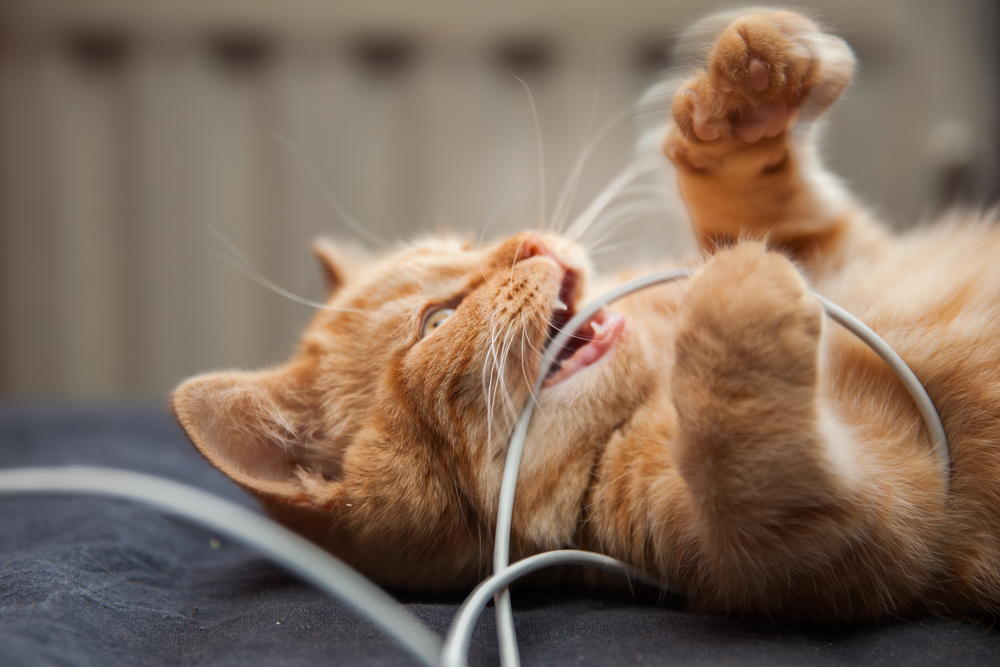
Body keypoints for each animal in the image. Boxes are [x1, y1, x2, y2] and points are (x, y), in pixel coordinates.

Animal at [172, 10, 1000, 624]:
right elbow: (743, 443)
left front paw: (744, 98)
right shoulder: (855, 536)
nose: (529, 242)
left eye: (471, 244)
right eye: (436, 321)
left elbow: (760, 202)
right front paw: (735, 288)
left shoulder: (834, 247)